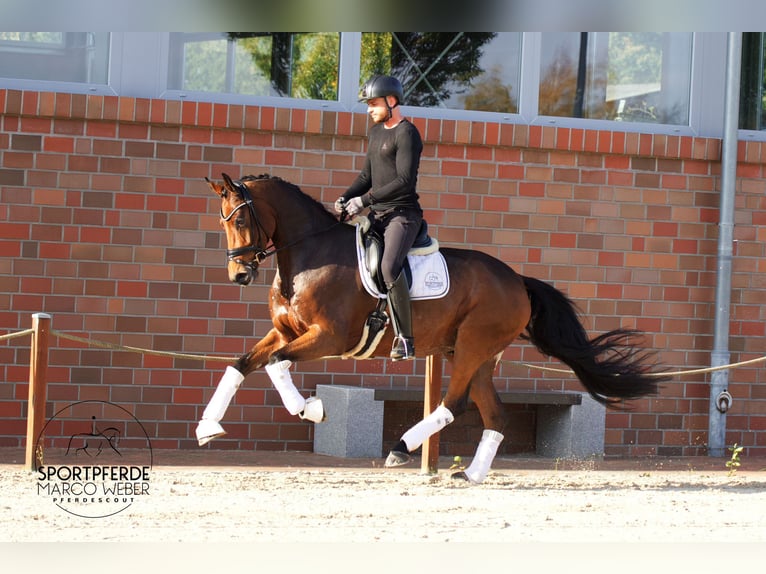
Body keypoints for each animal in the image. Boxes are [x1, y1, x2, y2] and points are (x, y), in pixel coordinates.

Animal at [198, 173, 672, 484]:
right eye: (221, 221)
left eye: (240, 220)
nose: (238, 275)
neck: (308, 254)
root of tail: (517, 280)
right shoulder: (285, 332)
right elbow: (241, 365)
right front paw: (207, 428)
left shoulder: (328, 337)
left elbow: (277, 365)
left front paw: (310, 409)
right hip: (474, 356)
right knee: (493, 413)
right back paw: (473, 475)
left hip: (471, 347)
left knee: (454, 403)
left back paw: (400, 448)